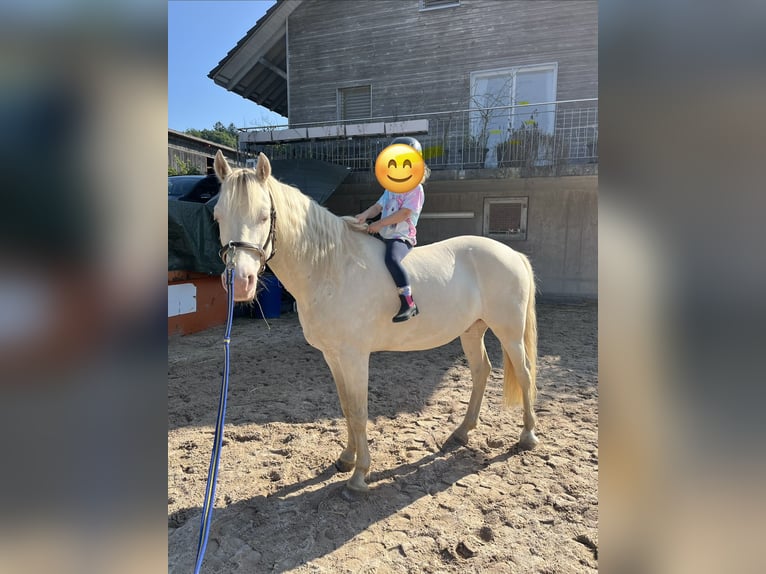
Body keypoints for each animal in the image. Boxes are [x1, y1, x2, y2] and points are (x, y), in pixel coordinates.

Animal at [212, 150, 539, 493]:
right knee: (481, 372)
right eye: (218, 217)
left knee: (525, 374)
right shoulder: (333, 356)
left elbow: (359, 411)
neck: (331, 267)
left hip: (509, 332)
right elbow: (346, 407)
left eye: (264, 216)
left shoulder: (355, 357)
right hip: (472, 331)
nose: (240, 282)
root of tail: (513, 254)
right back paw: (461, 432)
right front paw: (346, 458)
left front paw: (359, 474)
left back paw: (528, 436)